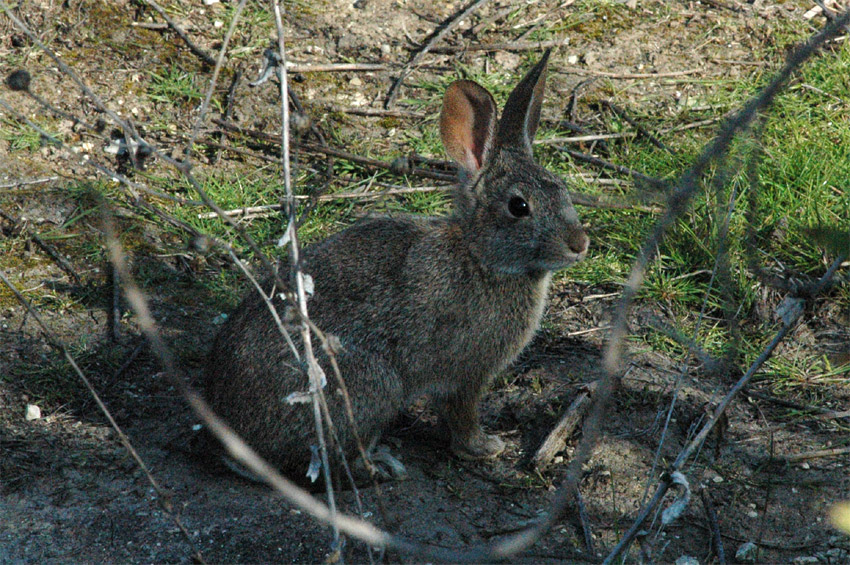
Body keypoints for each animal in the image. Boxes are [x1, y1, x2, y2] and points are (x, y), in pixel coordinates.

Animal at [205, 49, 588, 480]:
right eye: (519, 207)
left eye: (561, 187)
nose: (579, 244)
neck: (480, 257)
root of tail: (233, 445)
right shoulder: (467, 374)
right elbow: (462, 414)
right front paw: (483, 448)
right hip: (371, 387)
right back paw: (379, 466)